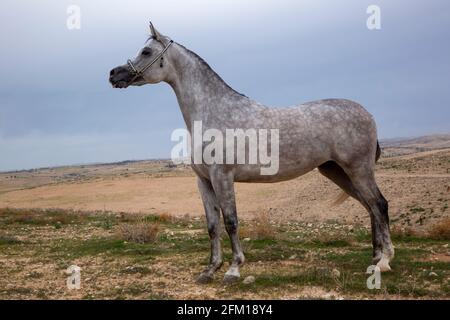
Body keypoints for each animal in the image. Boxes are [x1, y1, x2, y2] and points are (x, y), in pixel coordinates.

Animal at [110, 22, 394, 284]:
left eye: (146, 51)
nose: (114, 74)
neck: (215, 111)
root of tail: (367, 114)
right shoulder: (204, 181)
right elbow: (212, 226)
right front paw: (210, 270)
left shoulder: (222, 177)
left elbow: (230, 222)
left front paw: (233, 269)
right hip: (337, 171)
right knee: (369, 206)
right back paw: (375, 257)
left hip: (359, 169)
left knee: (379, 204)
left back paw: (384, 261)